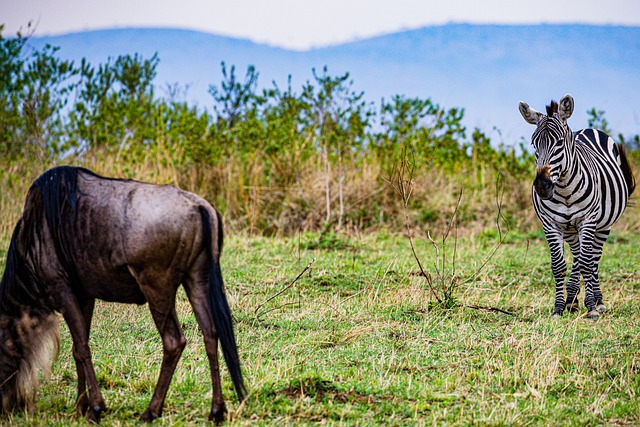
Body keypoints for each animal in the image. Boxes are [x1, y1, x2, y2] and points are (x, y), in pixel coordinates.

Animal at [520, 95, 636, 320]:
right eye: (533, 144)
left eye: (559, 143)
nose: (542, 186)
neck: (564, 189)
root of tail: (589, 129)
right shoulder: (551, 224)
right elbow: (559, 265)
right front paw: (558, 308)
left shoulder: (588, 221)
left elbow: (587, 262)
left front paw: (591, 307)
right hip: (570, 229)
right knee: (578, 256)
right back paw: (571, 300)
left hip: (603, 225)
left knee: (593, 258)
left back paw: (598, 301)